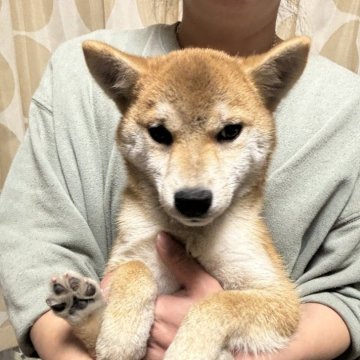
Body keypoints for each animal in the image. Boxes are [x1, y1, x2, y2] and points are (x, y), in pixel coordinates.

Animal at [46, 37, 310, 360]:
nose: (193, 200)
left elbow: (217, 303)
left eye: (230, 131)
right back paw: (80, 305)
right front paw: (121, 333)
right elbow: (134, 270)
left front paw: (188, 349)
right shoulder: (130, 255)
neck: (191, 236)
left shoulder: (279, 296)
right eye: (159, 133)